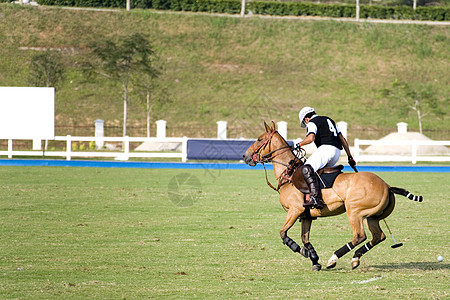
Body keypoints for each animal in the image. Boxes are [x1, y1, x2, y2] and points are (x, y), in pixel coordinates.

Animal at [243, 120, 422, 270]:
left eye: (259, 139)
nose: (245, 156)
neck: (289, 174)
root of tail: (387, 186)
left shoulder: (295, 210)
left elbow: (283, 233)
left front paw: (303, 252)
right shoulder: (306, 216)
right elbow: (305, 238)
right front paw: (314, 260)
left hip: (354, 210)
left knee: (359, 236)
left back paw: (334, 258)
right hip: (372, 216)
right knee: (379, 236)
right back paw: (355, 258)